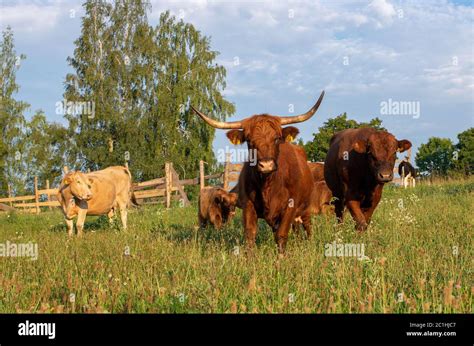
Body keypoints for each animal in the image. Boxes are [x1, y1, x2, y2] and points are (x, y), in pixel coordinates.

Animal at [191, 92, 324, 254]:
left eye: (277, 138)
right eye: (249, 140)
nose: (266, 165)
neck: (268, 185)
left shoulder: (290, 207)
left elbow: (282, 235)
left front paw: (281, 258)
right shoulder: (248, 205)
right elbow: (250, 234)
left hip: (305, 208)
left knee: (307, 226)